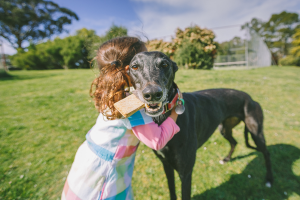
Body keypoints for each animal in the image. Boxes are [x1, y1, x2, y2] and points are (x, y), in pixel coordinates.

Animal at [127, 51, 274, 198]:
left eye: (164, 64)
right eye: (134, 66)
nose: (152, 94)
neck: (163, 118)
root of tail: (250, 98)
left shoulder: (186, 173)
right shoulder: (166, 165)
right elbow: (172, 190)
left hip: (255, 132)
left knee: (266, 152)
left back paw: (269, 179)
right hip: (225, 128)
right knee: (234, 142)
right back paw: (226, 159)